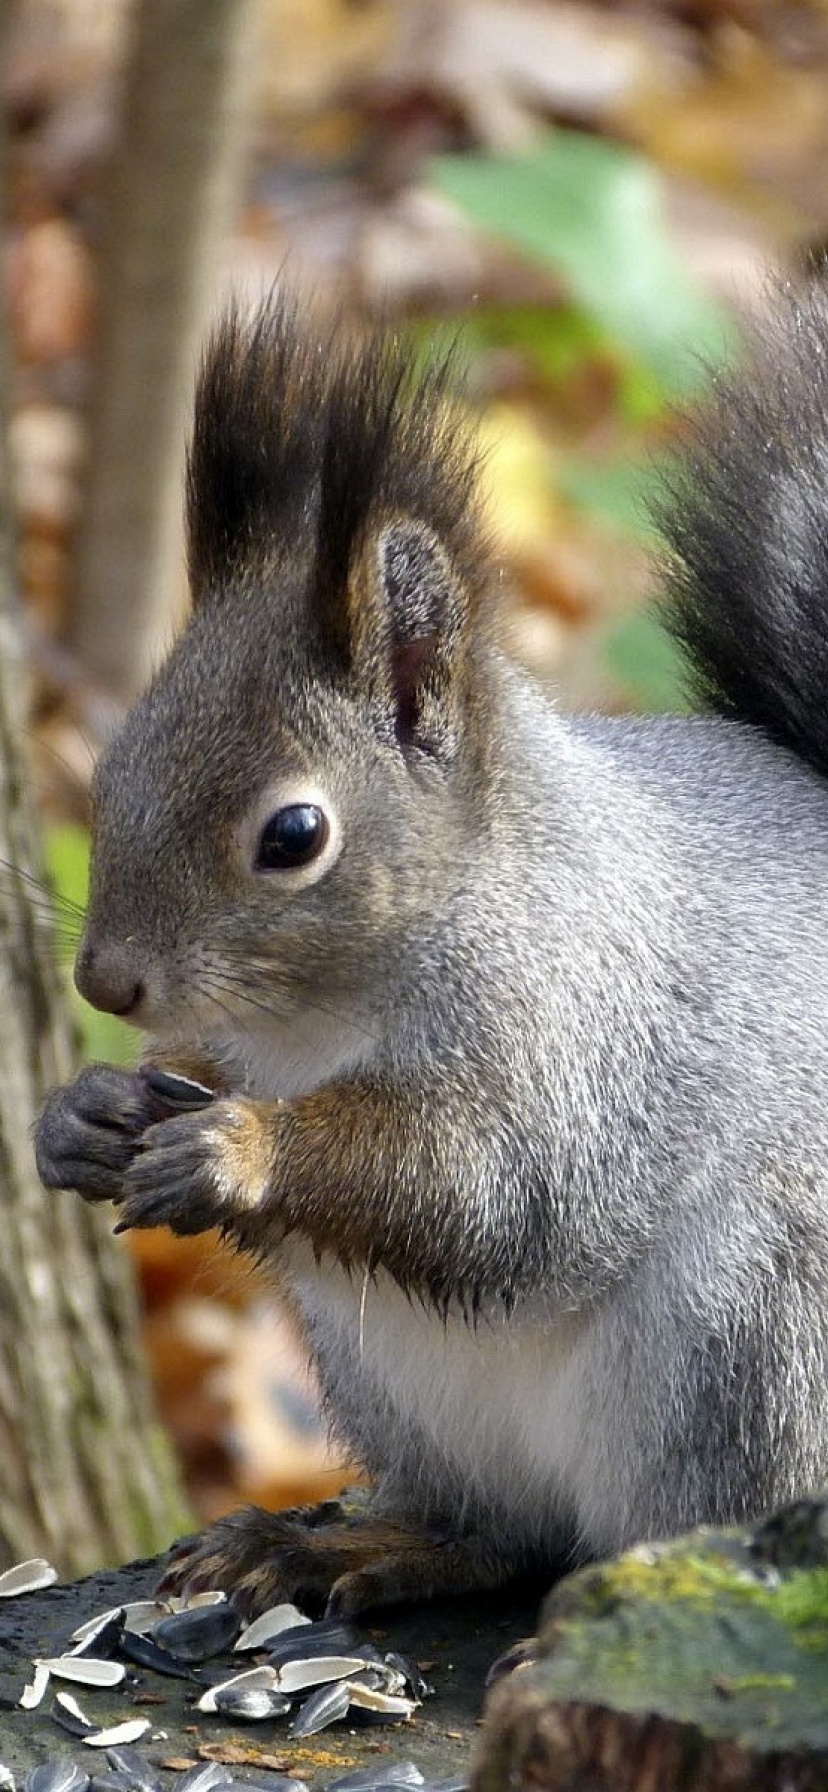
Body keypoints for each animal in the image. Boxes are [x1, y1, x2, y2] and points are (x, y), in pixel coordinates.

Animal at [37, 283, 828, 1627]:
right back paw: (344, 1549)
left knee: (663, 1531)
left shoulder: (584, 1033)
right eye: (116, 763)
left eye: (294, 835)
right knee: (505, 1535)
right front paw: (88, 1114)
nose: (106, 985)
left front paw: (242, 1148)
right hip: (394, 1383)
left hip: (747, 1340)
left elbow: (489, 1186)